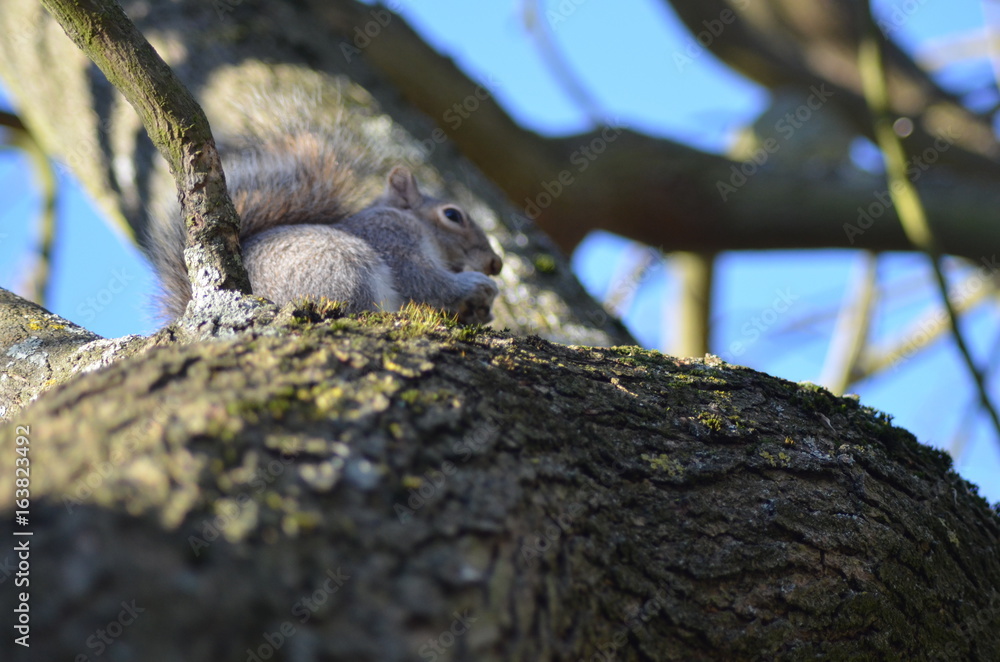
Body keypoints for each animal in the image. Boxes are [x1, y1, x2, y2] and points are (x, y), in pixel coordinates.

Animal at [149, 130, 503, 324]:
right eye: (453, 215)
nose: (496, 264)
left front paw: (480, 311)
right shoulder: (391, 237)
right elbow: (423, 279)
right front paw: (476, 284)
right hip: (343, 272)